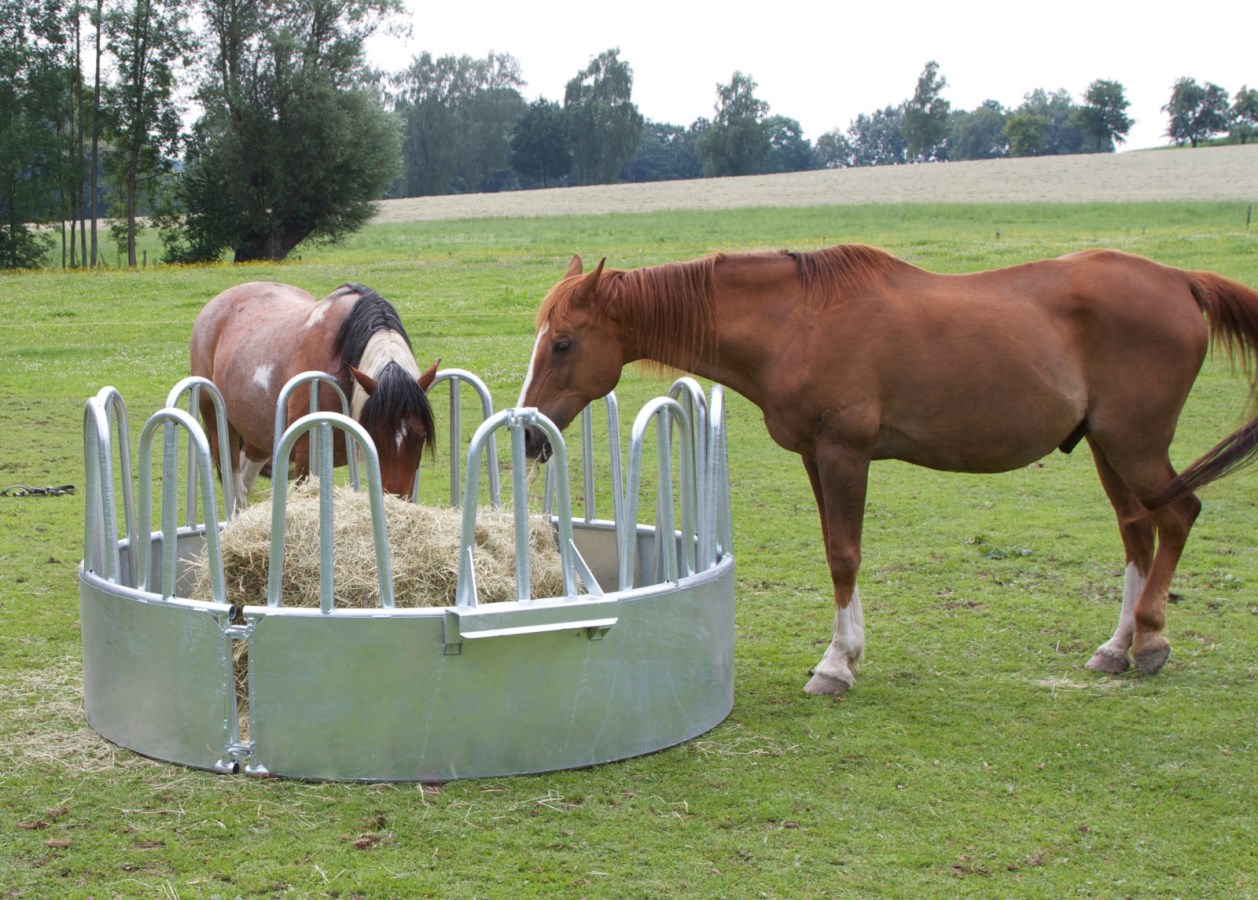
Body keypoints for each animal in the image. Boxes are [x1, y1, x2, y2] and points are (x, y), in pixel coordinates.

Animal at [188, 281, 440, 511]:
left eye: (421, 436)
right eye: (374, 435)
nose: (396, 502)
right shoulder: (305, 456)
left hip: (258, 435)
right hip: (219, 426)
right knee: (235, 485)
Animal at [518, 246, 1258, 694]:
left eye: (564, 343)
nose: (527, 434)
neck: (794, 322)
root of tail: (1180, 280)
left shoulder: (845, 452)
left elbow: (844, 554)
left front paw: (836, 665)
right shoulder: (816, 457)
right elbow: (832, 549)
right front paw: (844, 653)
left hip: (1135, 445)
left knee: (1178, 515)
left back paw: (1152, 640)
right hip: (1108, 447)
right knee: (1138, 530)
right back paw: (1117, 646)